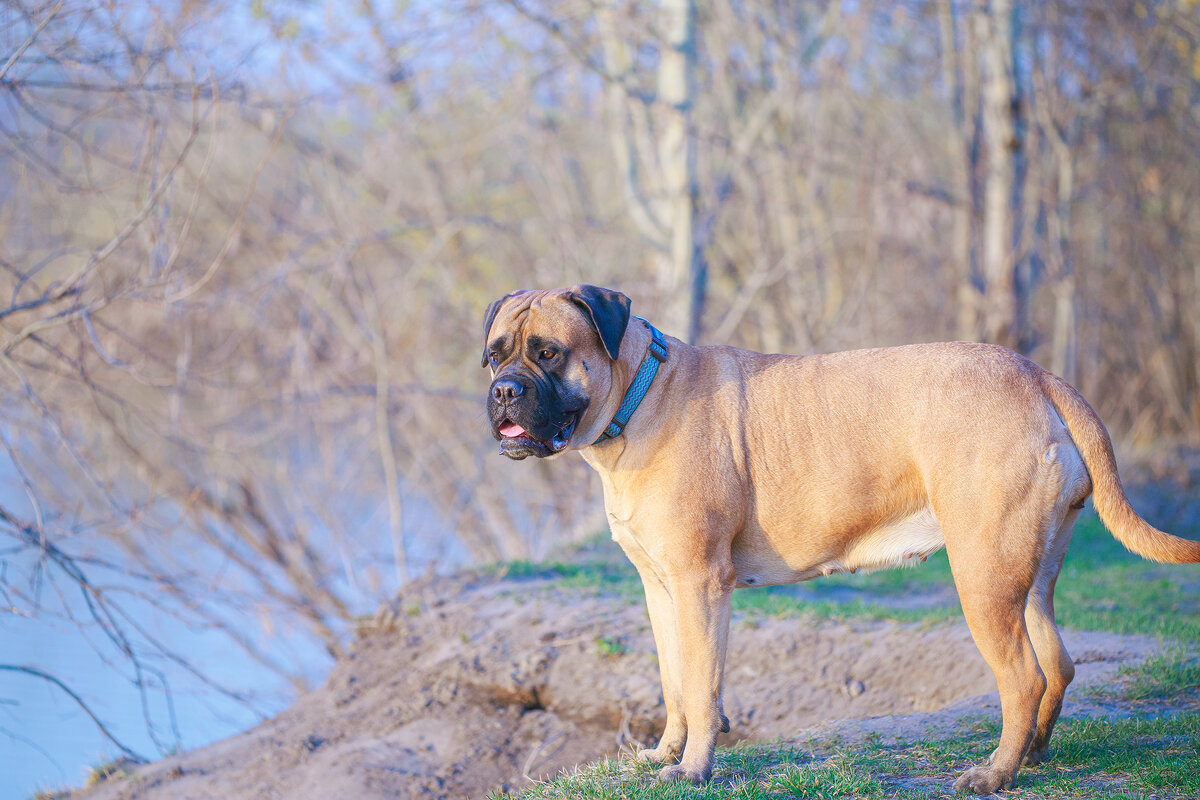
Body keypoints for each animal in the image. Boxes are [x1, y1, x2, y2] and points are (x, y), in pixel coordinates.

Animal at [480, 284, 1200, 791]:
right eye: (494, 354)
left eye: (548, 353)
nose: (503, 392)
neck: (636, 397)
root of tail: (1036, 375)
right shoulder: (661, 590)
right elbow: (673, 682)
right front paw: (663, 752)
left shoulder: (699, 586)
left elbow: (703, 685)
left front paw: (693, 769)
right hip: (1030, 572)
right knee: (1057, 662)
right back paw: (1033, 756)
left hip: (983, 573)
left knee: (1023, 675)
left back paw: (995, 772)